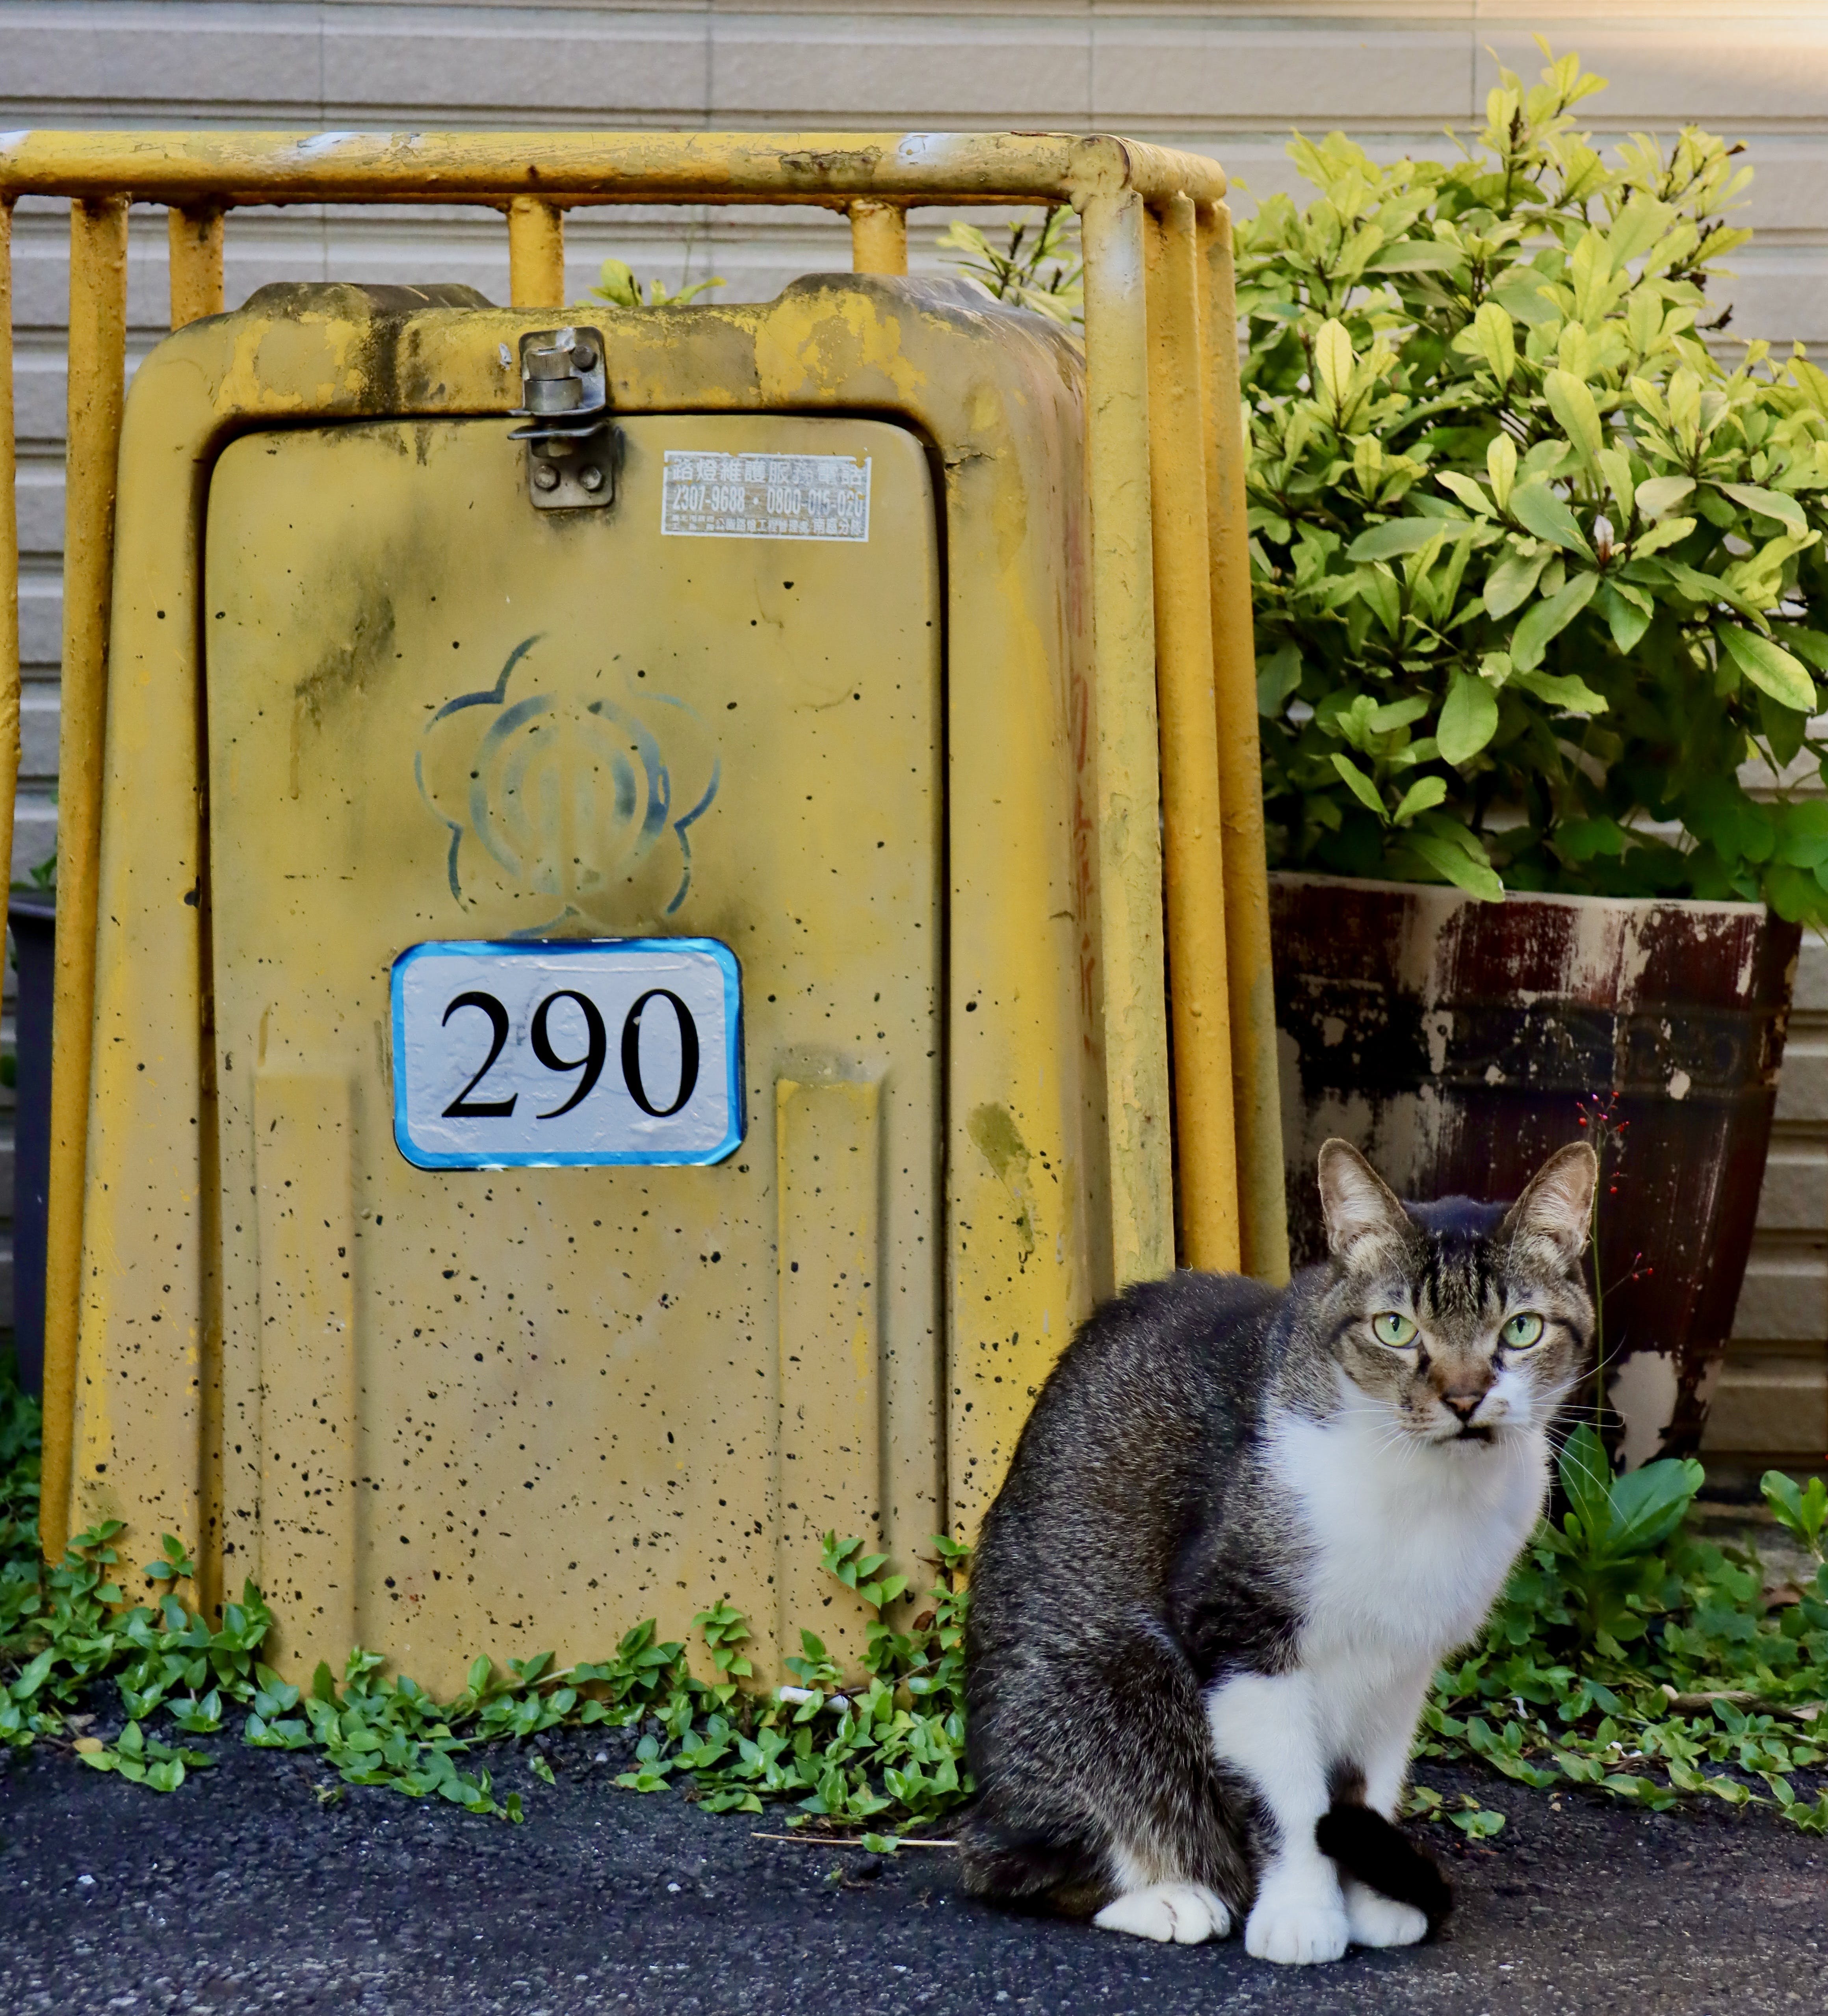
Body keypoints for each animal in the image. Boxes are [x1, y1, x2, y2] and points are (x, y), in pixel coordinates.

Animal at [963, 1145, 1596, 1959]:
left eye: (1520, 1329)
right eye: (1396, 1327)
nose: (1463, 1397)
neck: (1431, 1495)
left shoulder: (1404, 1660)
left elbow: (1370, 1783)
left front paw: (1372, 1896)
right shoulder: (1238, 1621)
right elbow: (1291, 1795)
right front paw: (1302, 1910)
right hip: (1109, 1688)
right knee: (1020, 1859)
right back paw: (1169, 1895)